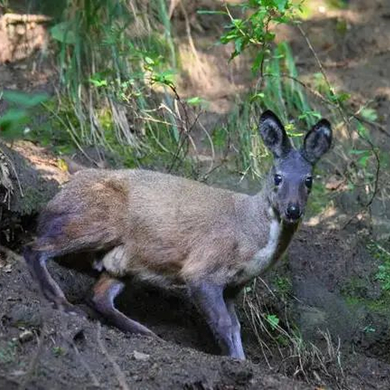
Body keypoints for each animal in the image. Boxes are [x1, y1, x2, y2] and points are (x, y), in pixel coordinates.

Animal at [23, 109, 332, 360]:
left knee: (97, 295)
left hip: (123, 260)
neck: (250, 233)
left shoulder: (235, 286)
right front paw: (233, 361)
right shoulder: (202, 267)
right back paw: (63, 303)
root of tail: (61, 193)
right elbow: (222, 323)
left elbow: (235, 326)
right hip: (96, 221)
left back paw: (146, 333)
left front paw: (243, 361)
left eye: (309, 180)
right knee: (35, 248)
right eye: (278, 177)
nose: (293, 210)